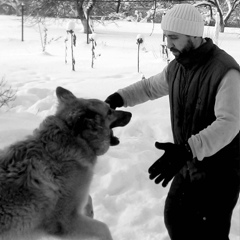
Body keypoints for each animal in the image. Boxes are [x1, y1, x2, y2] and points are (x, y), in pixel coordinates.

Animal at [0, 86, 131, 240]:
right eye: (109, 111)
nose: (130, 113)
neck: (77, 140)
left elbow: (88, 199)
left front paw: (89, 211)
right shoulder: (66, 221)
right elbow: (104, 229)